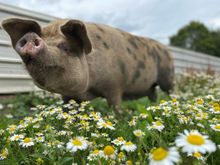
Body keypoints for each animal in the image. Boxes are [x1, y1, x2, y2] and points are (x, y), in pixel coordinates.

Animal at [1, 18, 174, 113]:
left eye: (65, 47)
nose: (30, 36)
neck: (87, 91)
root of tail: (166, 49)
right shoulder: (67, 97)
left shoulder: (115, 86)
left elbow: (116, 107)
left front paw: (120, 121)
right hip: (151, 87)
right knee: (153, 95)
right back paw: (156, 105)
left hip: (167, 76)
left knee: (169, 91)